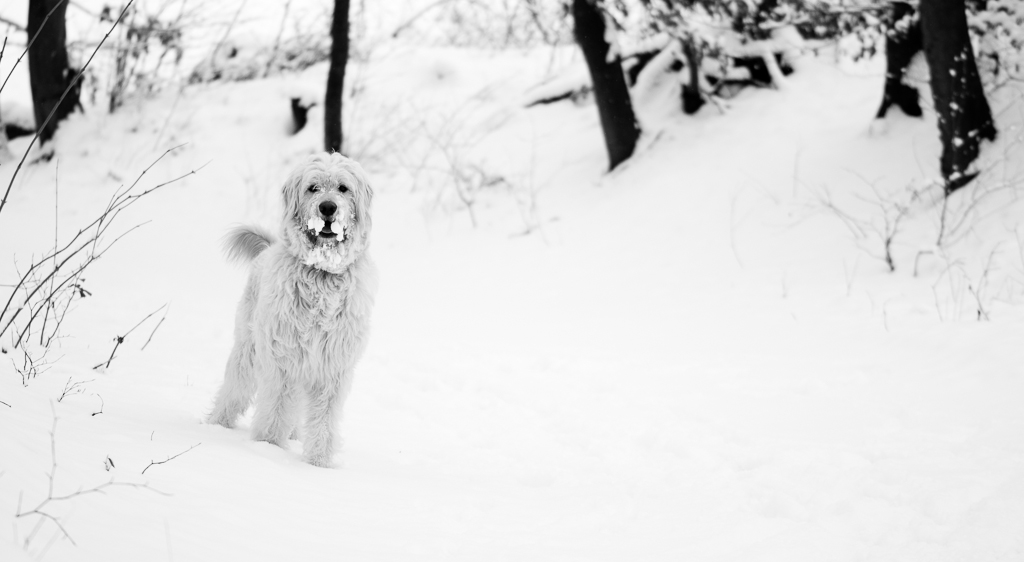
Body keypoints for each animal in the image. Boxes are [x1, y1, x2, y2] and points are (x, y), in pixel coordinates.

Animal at [209, 151, 378, 466]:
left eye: (343, 188)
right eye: (313, 188)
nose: (328, 207)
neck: (321, 273)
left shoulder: (331, 367)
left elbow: (324, 419)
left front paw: (318, 463)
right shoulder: (283, 359)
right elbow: (275, 408)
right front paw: (268, 448)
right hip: (248, 350)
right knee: (234, 391)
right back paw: (216, 424)